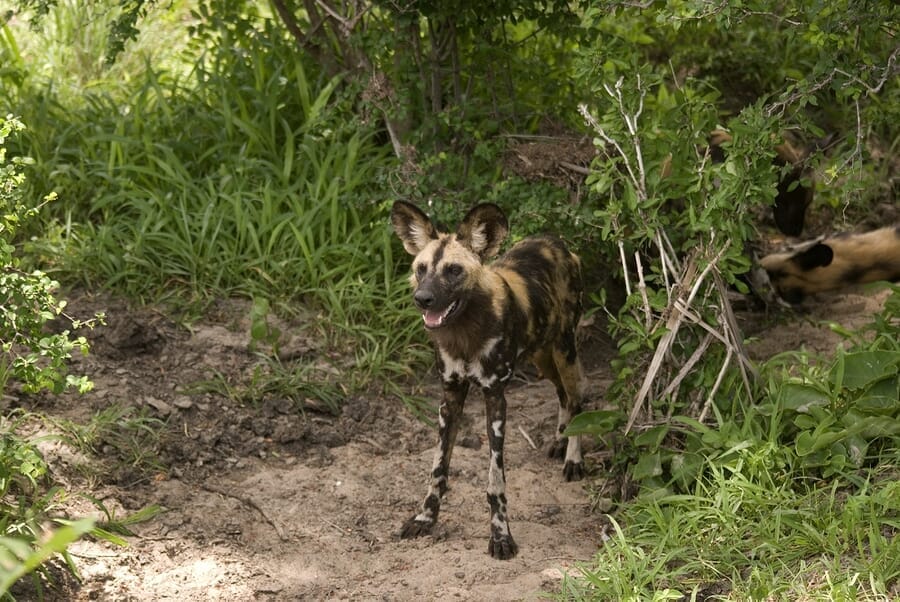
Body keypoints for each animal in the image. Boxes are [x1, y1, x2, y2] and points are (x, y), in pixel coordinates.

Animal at [390, 200, 588, 556]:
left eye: (454, 270)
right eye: (421, 268)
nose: (422, 298)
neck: (465, 333)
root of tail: (556, 242)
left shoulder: (495, 399)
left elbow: (496, 483)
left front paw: (500, 536)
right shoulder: (450, 398)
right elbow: (438, 470)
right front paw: (426, 518)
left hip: (564, 350)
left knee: (577, 397)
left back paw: (573, 458)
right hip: (541, 355)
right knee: (564, 396)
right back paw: (560, 439)